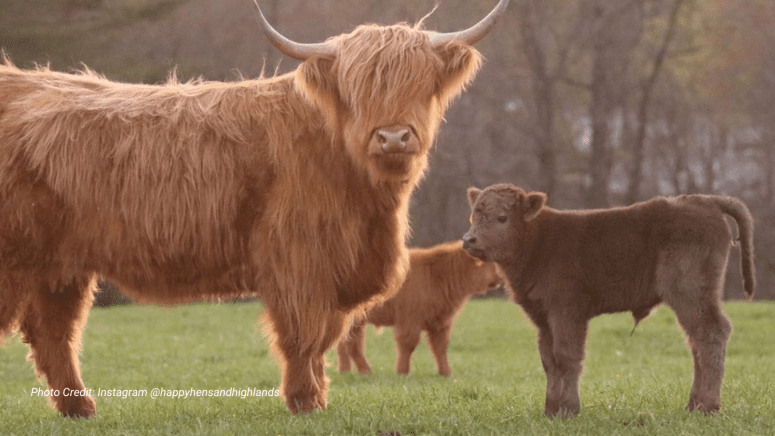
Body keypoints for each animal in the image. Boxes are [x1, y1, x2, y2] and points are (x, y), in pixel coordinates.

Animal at [340, 240, 504, 376]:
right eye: (488, 262)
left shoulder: (440, 323)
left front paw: (446, 373)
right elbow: (408, 344)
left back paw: (346, 371)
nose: (500, 278)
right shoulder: (410, 320)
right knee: (353, 346)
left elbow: (440, 347)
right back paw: (366, 372)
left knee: (344, 345)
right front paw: (402, 372)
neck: (438, 276)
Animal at [464, 182, 756, 418]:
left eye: (502, 217)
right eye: (474, 215)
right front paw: (550, 409)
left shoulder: (566, 313)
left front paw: (568, 409)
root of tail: (704, 200)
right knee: (696, 341)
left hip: (690, 293)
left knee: (712, 333)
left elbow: (566, 356)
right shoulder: (543, 317)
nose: (469, 239)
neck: (539, 239)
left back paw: (707, 406)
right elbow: (549, 360)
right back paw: (694, 404)